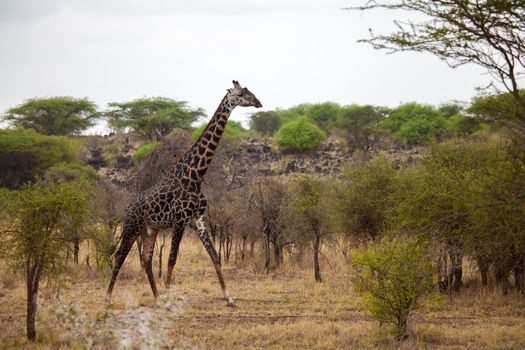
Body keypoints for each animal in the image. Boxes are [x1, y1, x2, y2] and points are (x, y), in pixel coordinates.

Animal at [106, 81, 262, 306]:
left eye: (250, 92)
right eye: (241, 94)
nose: (258, 102)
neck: (196, 176)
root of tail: (128, 207)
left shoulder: (197, 220)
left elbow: (215, 256)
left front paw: (229, 298)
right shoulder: (179, 220)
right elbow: (172, 258)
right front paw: (169, 297)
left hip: (150, 230)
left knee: (146, 259)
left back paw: (156, 297)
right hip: (132, 226)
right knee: (120, 255)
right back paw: (108, 297)